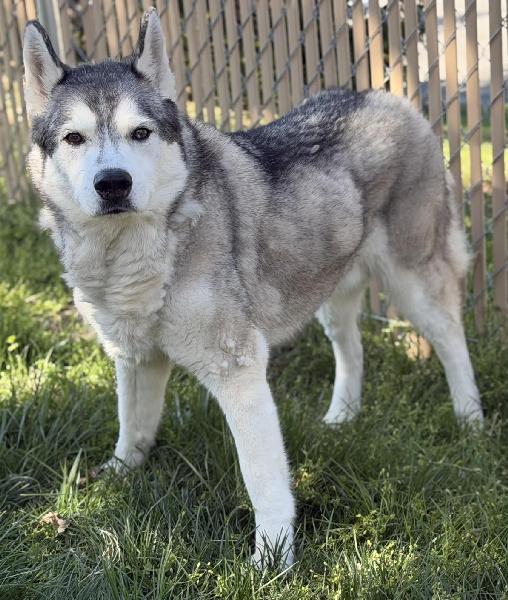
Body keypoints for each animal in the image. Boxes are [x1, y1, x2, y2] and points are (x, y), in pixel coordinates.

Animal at [23, 8, 483, 567]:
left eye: (140, 133)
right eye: (74, 138)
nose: (113, 183)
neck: (131, 253)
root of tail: (383, 95)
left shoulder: (237, 369)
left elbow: (262, 479)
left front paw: (271, 561)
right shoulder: (135, 356)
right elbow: (133, 426)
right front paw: (117, 477)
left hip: (413, 279)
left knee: (451, 338)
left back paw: (471, 419)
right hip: (327, 288)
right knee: (351, 347)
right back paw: (342, 416)